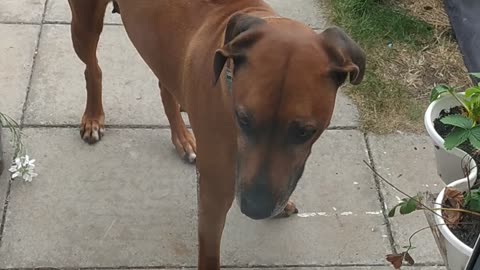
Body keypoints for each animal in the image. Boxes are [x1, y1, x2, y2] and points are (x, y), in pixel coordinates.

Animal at [67, 1, 366, 268]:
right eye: (243, 119)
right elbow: (210, 251)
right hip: (84, 25)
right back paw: (93, 116)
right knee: (92, 67)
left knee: (166, 87)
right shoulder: (215, 193)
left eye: (304, 132)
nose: (255, 208)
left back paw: (183, 138)